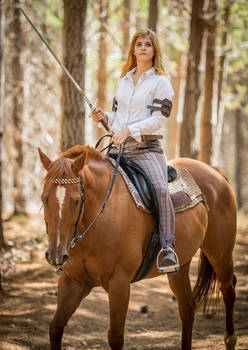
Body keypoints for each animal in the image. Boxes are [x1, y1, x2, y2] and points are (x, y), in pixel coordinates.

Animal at [37, 145, 237, 350]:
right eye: (44, 199)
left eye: (76, 201)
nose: (56, 255)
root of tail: (216, 173)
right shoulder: (73, 282)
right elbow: (55, 328)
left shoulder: (120, 285)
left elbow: (116, 337)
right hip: (180, 267)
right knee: (187, 308)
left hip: (220, 254)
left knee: (228, 291)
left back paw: (230, 339)